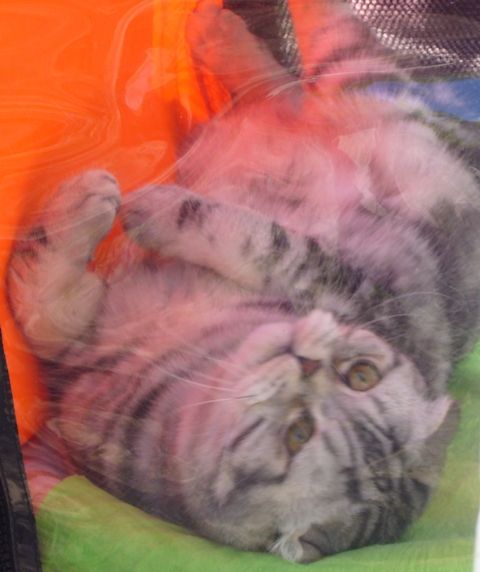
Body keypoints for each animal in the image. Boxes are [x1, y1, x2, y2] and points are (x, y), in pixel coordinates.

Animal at [7, 0, 480, 564]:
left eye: (299, 435)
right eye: (362, 375)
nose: (308, 361)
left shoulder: (353, 287)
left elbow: (262, 241)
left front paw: (149, 210)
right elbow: (52, 306)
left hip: (358, 83)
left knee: (315, 73)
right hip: (350, 95)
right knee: (293, 85)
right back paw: (220, 33)